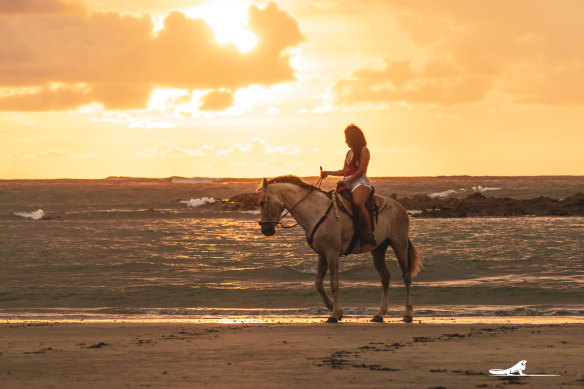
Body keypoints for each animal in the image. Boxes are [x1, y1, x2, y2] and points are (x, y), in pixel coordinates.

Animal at [258, 176, 422, 322]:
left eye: (261, 202)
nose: (265, 229)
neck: (316, 212)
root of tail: (400, 206)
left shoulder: (332, 254)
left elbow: (334, 284)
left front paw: (334, 314)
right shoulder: (322, 255)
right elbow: (318, 283)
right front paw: (335, 309)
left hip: (399, 244)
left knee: (406, 276)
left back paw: (408, 314)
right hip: (378, 249)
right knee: (385, 277)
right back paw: (380, 314)